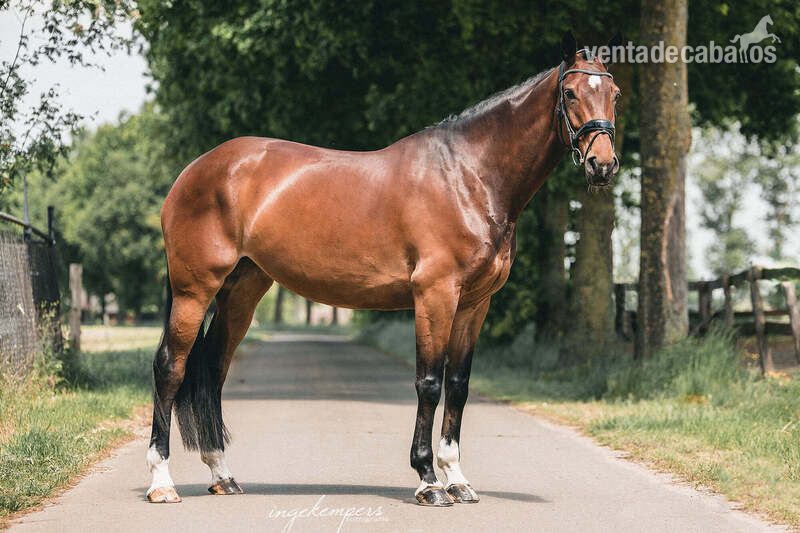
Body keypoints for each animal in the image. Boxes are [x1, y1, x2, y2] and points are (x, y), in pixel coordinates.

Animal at [146, 31, 621, 507]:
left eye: (614, 94)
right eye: (570, 93)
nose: (602, 164)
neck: (468, 177)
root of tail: (194, 171)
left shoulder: (475, 304)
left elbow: (459, 385)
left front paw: (457, 478)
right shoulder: (434, 295)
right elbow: (429, 383)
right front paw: (429, 480)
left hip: (242, 290)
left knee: (214, 368)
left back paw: (222, 474)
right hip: (195, 290)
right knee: (171, 367)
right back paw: (162, 482)